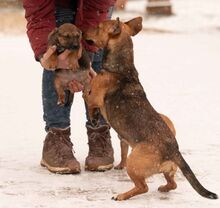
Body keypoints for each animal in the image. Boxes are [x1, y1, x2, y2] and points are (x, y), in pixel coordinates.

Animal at [83, 16, 218, 200]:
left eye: (98, 27)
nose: (82, 31)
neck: (122, 67)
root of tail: (173, 150)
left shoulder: (93, 96)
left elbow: (87, 96)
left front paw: (93, 116)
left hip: (133, 162)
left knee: (143, 187)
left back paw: (122, 196)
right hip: (167, 169)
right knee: (172, 184)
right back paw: (163, 188)